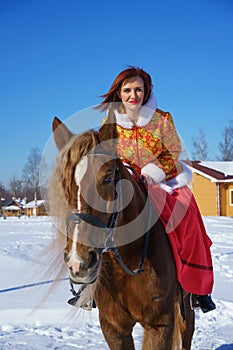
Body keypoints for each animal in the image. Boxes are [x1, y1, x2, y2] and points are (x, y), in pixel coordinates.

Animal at [49, 110, 195, 348]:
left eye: (108, 177)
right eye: (64, 183)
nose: (78, 262)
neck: (127, 261)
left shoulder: (160, 326)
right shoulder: (114, 329)